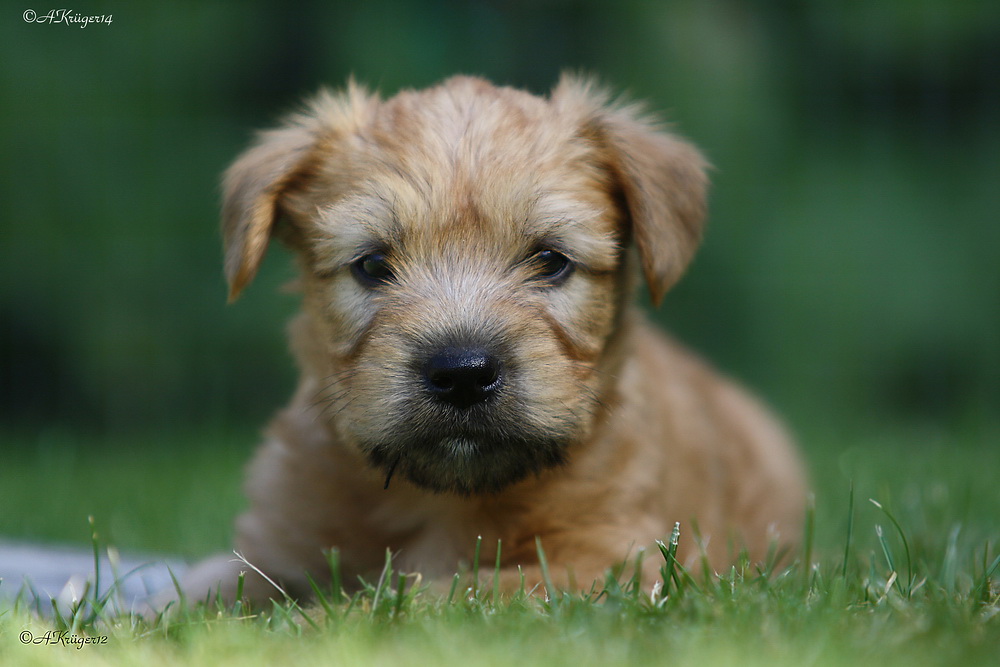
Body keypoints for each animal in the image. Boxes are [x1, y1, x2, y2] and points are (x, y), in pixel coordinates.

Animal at [178, 74, 804, 604]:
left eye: (551, 260)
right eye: (373, 264)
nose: (462, 373)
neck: (438, 501)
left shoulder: (609, 563)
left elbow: (436, 595)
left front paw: (331, 619)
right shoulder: (273, 548)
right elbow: (198, 592)